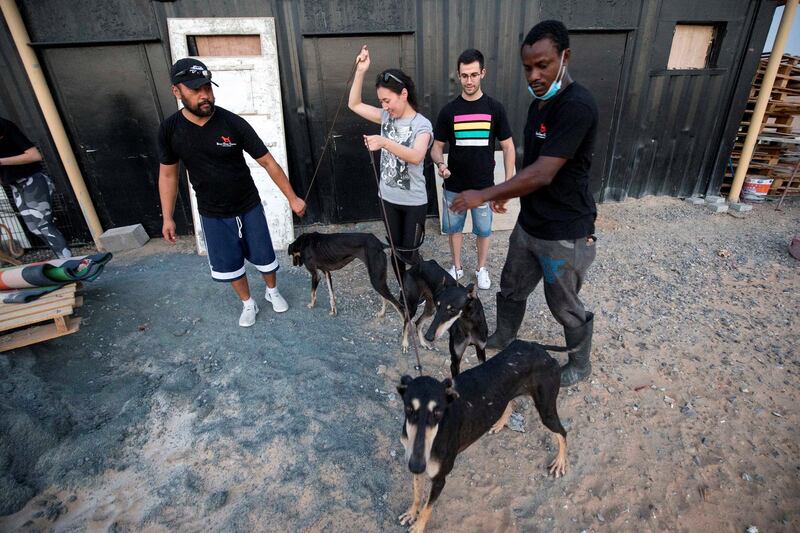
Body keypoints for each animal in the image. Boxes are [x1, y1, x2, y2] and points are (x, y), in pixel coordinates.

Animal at [396, 338, 564, 528]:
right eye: (409, 409)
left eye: (438, 413)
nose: (416, 465)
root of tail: (538, 347)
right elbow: (417, 494)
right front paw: (411, 513)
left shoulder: (439, 478)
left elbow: (427, 509)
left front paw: (418, 526)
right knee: (510, 404)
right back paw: (499, 423)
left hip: (546, 410)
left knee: (563, 433)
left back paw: (560, 462)